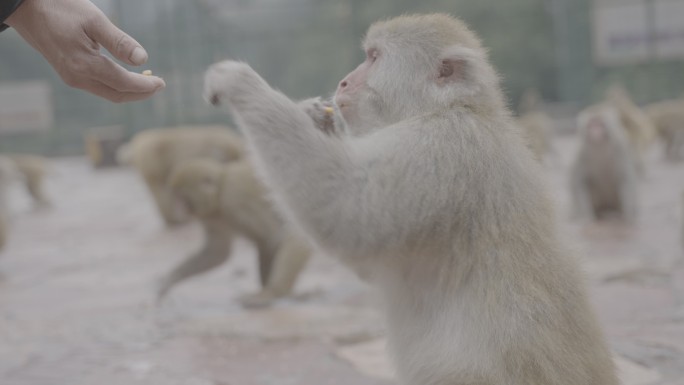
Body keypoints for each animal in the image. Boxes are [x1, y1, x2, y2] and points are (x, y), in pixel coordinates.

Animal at [158, 157, 310, 306]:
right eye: (175, 197)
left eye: (182, 198)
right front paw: (170, 280)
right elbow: (218, 252)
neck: (221, 187)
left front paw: (268, 292)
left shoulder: (236, 199)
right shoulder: (213, 217)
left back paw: (275, 292)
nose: (178, 209)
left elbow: (279, 236)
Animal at [204, 13, 620, 384]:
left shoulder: (441, 148)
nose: (343, 81)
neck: (451, 108)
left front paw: (240, 83)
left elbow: (348, 213)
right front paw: (315, 116)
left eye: (373, 57)